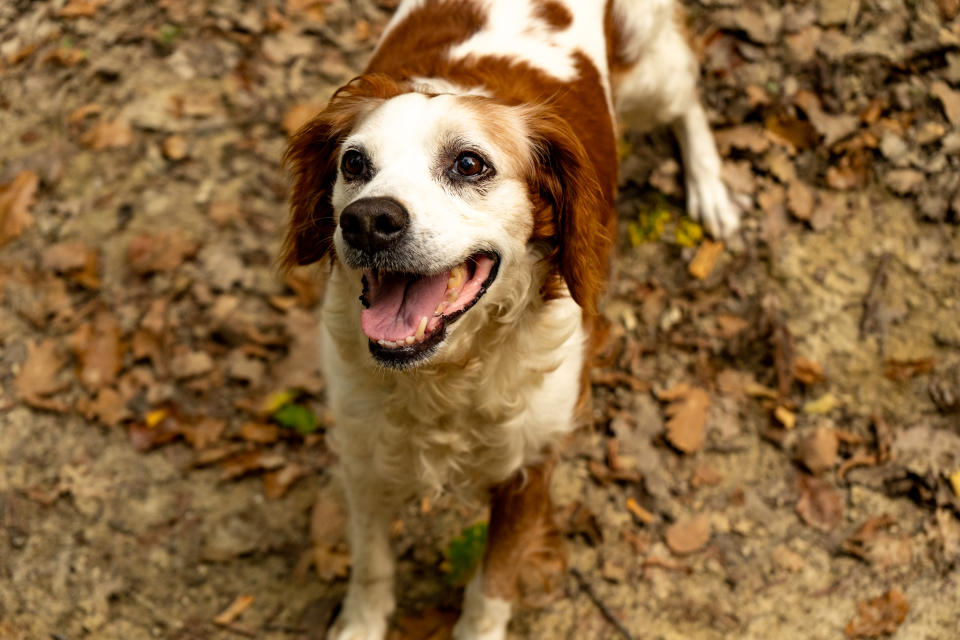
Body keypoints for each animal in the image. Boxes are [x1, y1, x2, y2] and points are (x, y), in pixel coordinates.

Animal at [282, 1, 740, 640]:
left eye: (469, 164)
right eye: (353, 163)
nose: (367, 220)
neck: (447, 374)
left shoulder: (531, 464)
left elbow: (491, 586)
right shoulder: (364, 452)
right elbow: (371, 564)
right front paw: (362, 624)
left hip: (652, 72)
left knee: (689, 96)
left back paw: (710, 189)